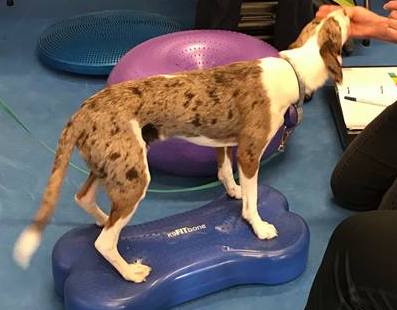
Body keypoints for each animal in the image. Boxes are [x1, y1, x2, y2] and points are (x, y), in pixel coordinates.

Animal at [13, 9, 350, 282]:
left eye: (321, 21)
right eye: (336, 24)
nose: (344, 9)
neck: (294, 68)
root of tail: (82, 112)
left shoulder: (224, 141)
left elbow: (225, 172)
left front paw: (233, 191)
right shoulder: (250, 153)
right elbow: (252, 200)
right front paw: (258, 226)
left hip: (113, 165)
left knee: (84, 198)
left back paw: (101, 219)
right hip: (134, 177)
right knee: (105, 242)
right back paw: (130, 272)